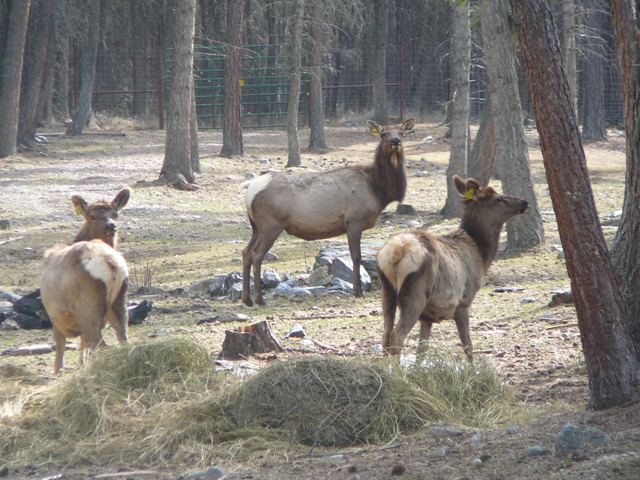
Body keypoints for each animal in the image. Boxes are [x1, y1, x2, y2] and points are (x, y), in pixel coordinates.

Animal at [40, 188, 131, 376]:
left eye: (115, 213)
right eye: (92, 216)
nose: (111, 225)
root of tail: (109, 261)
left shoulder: (55, 314)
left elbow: (60, 345)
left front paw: (59, 372)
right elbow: (83, 345)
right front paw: (82, 366)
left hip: (87, 304)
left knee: (100, 344)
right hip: (120, 299)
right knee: (123, 339)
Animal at [240, 116, 416, 306]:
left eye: (402, 133)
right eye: (383, 134)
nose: (395, 141)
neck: (378, 191)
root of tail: (249, 189)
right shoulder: (354, 220)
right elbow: (356, 256)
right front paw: (357, 291)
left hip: (256, 227)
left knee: (246, 252)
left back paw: (247, 299)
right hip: (270, 225)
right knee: (257, 254)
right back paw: (259, 299)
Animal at [378, 175, 528, 360]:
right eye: (499, 198)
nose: (524, 202)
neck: (481, 255)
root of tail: (396, 253)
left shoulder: (427, 316)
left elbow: (422, 350)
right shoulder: (464, 302)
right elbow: (467, 345)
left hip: (387, 291)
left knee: (386, 333)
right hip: (415, 294)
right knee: (397, 335)